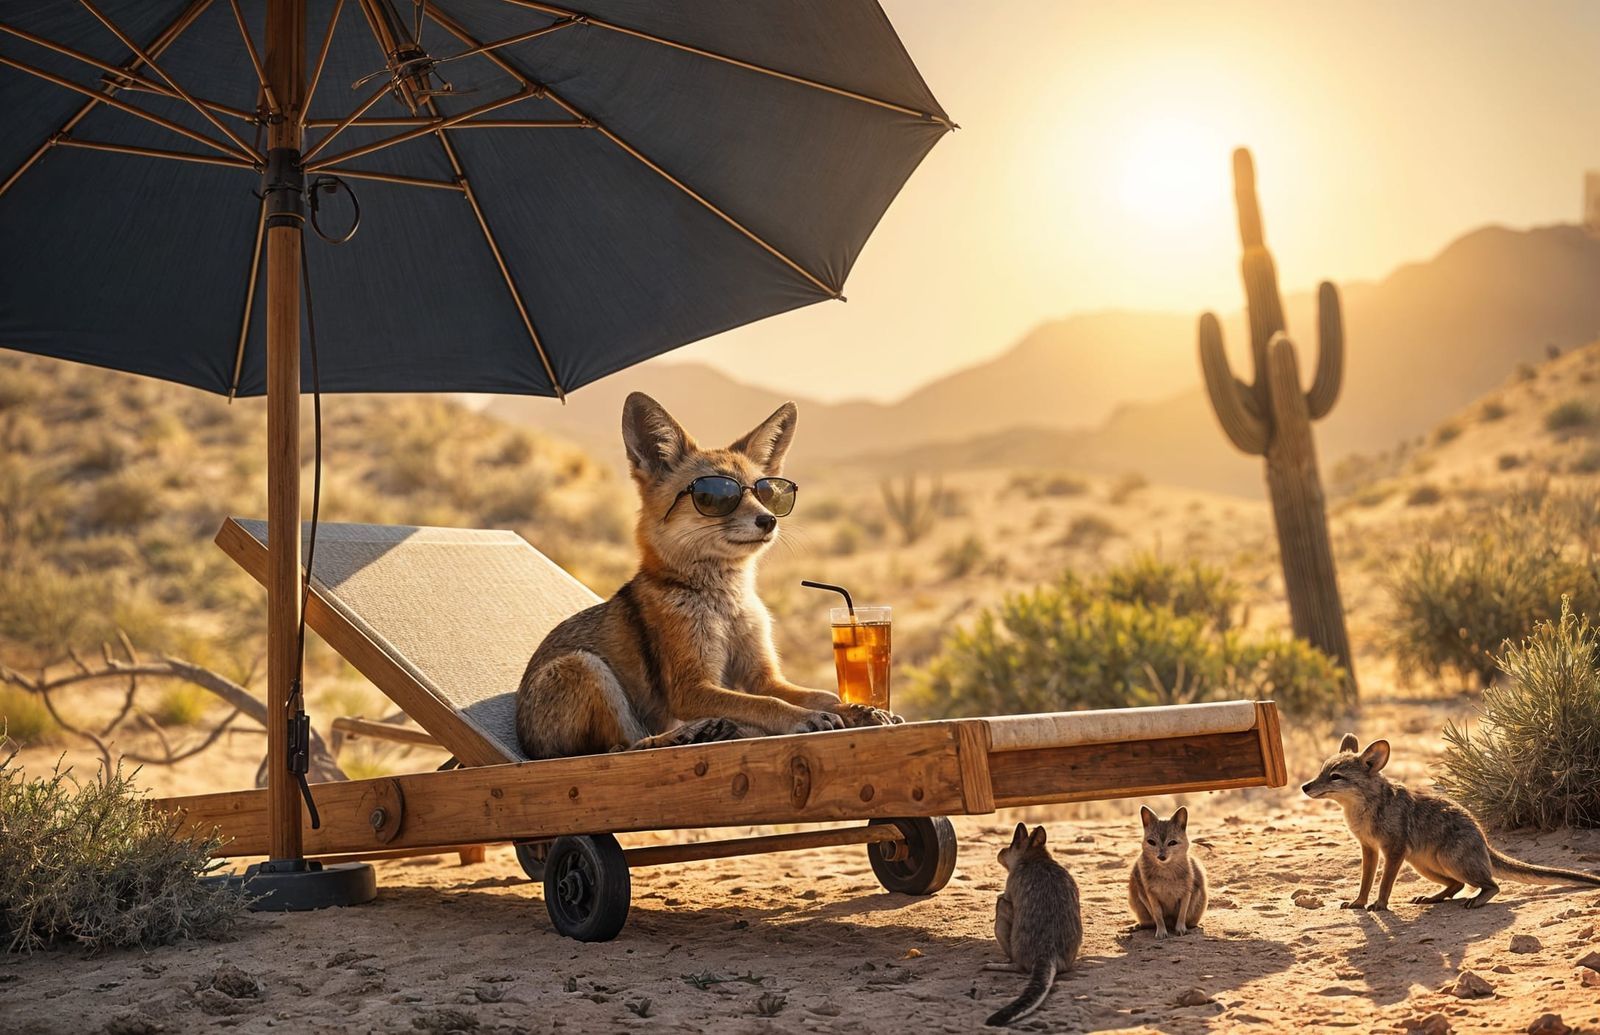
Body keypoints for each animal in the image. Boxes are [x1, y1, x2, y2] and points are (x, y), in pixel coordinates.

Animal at [515, 392, 898, 759]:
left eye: (768, 491)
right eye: (715, 495)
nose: (768, 520)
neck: (724, 606)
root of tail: (526, 744)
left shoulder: (762, 676)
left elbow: (818, 695)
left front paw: (858, 709)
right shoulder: (691, 687)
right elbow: (768, 704)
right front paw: (803, 717)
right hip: (583, 667)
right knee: (624, 746)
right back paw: (682, 736)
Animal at [1303, 734, 1600, 910]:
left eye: (1336, 776)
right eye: (1321, 771)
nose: (1305, 787)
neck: (1362, 808)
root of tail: (1484, 842)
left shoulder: (1394, 850)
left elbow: (1385, 883)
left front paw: (1379, 905)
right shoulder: (1370, 849)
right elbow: (1365, 880)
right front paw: (1358, 902)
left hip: (1446, 860)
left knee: (1491, 884)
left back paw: (1474, 901)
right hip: (1423, 864)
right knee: (1456, 886)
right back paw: (1431, 898)